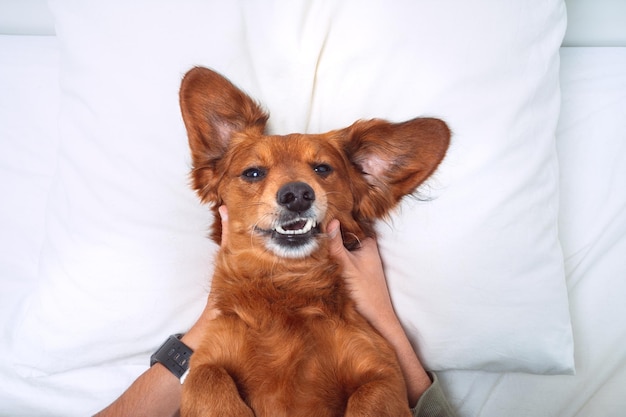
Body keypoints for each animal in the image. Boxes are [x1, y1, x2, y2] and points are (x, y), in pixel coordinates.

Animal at [178, 66, 446, 414]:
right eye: (253, 173)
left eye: (322, 168)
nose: (296, 194)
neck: (287, 285)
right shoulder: (209, 357)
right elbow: (205, 378)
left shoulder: (382, 370)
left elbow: (370, 398)